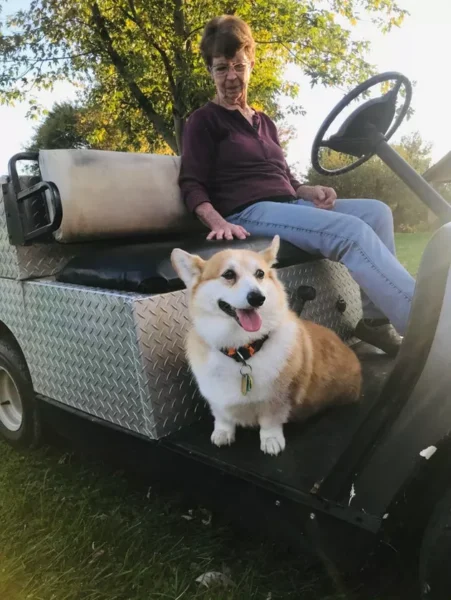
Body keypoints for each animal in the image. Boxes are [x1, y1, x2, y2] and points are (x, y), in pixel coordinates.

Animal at [171, 234, 362, 454]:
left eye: (260, 273)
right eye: (228, 274)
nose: (257, 298)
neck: (242, 349)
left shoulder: (277, 400)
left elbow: (270, 422)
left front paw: (271, 441)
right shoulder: (215, 398)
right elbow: (222, 417)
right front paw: (222, 433)